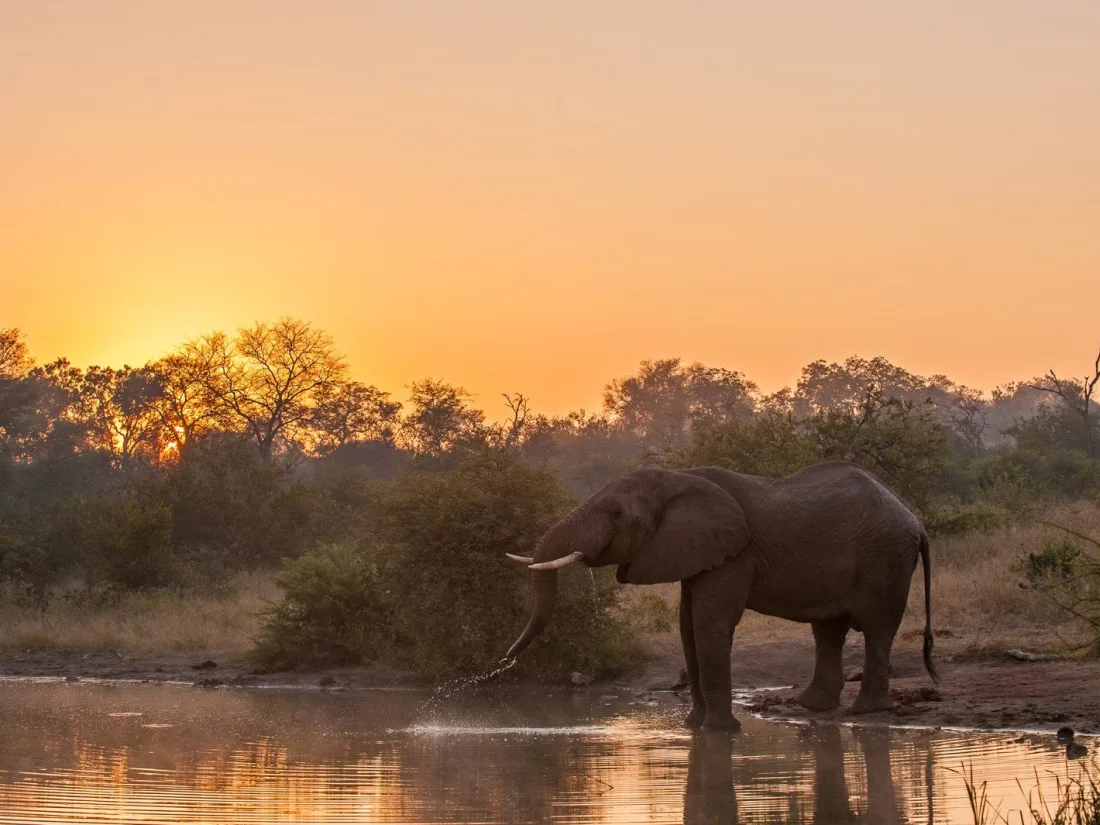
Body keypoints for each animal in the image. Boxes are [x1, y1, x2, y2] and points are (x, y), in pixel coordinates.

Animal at [503, 460, 937, 730]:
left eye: (615, 514)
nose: (503, 662)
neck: (678, 479)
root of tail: (916, 520)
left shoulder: (734, 554)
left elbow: (709, 621)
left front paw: (719, 731)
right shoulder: (694, 552)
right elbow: (686, 625)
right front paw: (692, 727)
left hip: (885, 557)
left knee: (877, 627)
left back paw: (867, 710)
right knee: (828, 629)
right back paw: (813, 706)